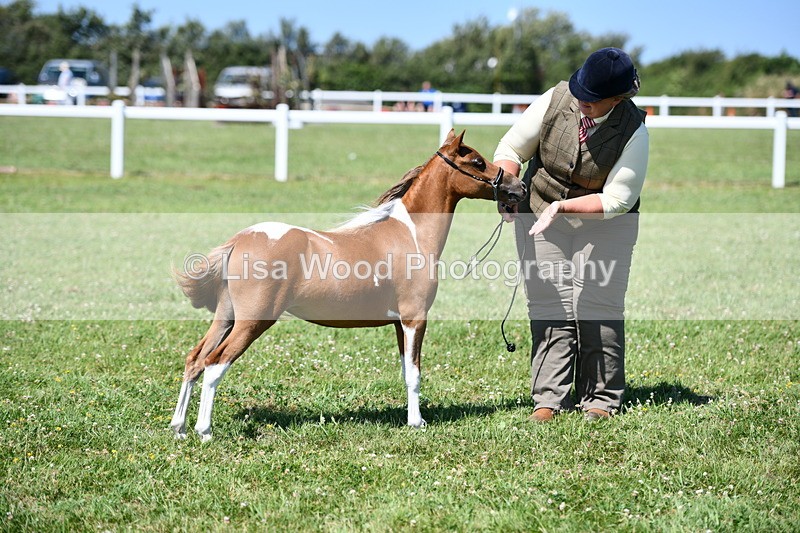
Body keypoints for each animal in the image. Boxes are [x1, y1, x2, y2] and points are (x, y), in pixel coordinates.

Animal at [170, 129, 527, 441]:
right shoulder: (415, 319)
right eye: (477, 162)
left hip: (226, 318)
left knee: (195, 360)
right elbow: (414, 374)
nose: (519, 187)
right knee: (215, 364)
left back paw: (179, 428)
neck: (410, 234)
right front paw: (417, 423)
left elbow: (405, 371)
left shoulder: (399, 324)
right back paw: (204, 431)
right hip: (252, 322)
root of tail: (240, 240)